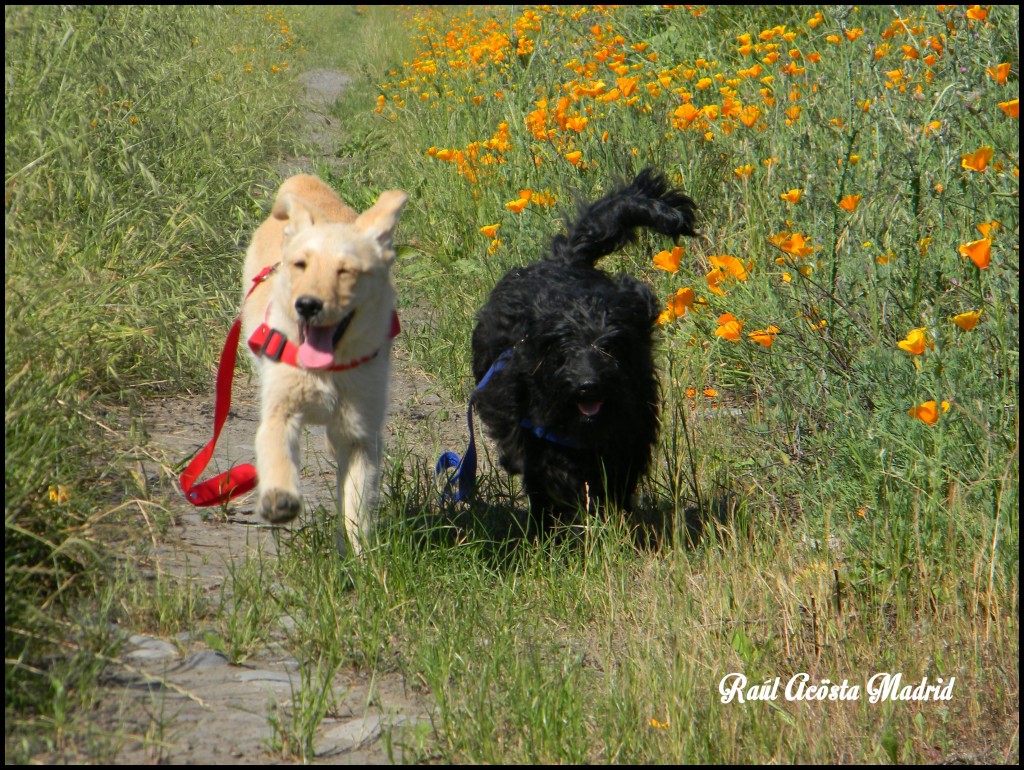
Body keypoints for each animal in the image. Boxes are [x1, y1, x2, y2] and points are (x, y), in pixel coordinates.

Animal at [242, 174, 407, 552]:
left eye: (346, 271)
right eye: (300, 265)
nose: (307, 305)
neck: (327, 371)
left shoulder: (361, 433)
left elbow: (357, 505)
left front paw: (361, 558)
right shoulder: (281, 410)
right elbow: (276, 450)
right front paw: (279, 498)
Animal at [468, 167, 696, 528]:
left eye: (610, 348)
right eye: (565, 348)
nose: (588, 385)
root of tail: (568, 259)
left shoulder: (631, 433)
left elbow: (617, 477)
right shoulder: (528, 427)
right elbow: (546, 469)